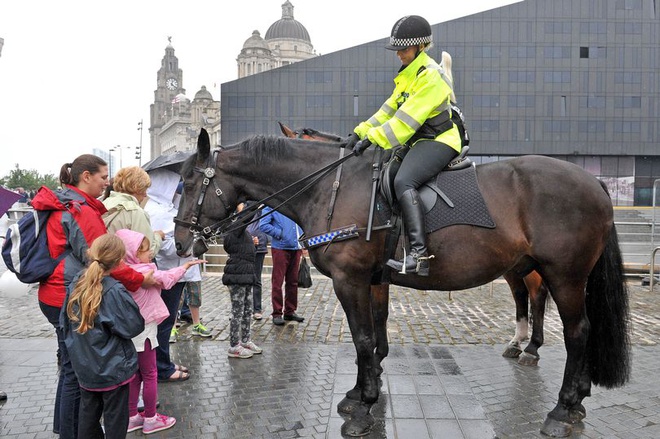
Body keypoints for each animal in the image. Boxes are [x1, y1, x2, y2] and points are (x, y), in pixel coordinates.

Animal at [280, 122, 552, 366]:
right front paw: (376, 357)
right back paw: (517, 343)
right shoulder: (378, 275)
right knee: (520, 294)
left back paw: (532, 348)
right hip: (515, 265)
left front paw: (375, 359)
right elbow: (379, 314)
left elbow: (378, 316)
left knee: (537, 294)